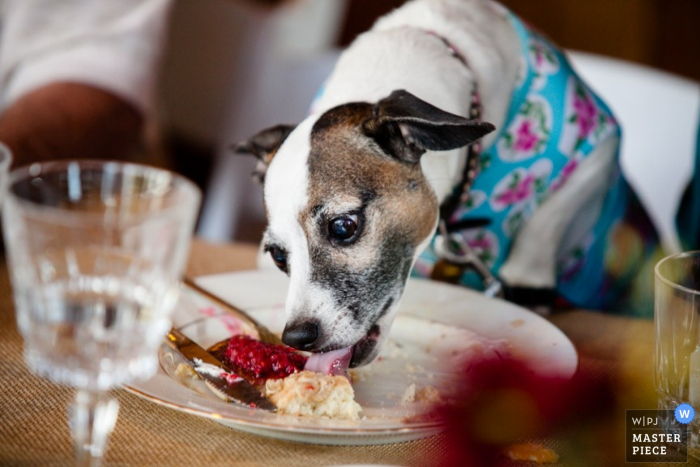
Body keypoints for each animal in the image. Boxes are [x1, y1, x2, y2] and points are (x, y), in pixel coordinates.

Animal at [234, 0, 656, 370]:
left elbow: (546, 223)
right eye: (279, 257)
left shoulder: (598, 150)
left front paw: (526, 277)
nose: (297, 337)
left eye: (343, 227)